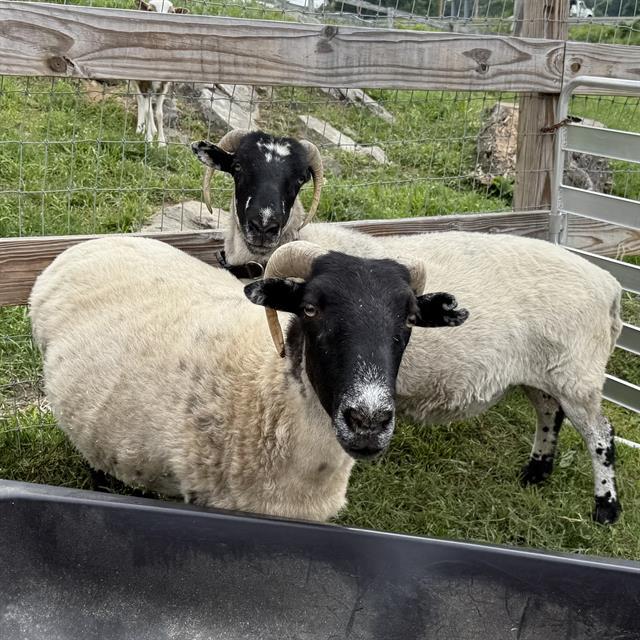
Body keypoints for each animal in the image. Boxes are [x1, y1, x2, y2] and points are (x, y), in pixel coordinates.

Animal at [132, 0, 189, 147]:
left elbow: (159, 113)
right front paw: (149, 140)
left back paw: (152, 128)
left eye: (172, 12)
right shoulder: (144, 82)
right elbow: (147, 110)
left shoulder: (164, 84)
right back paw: (140, 128)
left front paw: (161, 142)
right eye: (150, 10)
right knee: (141, 100)